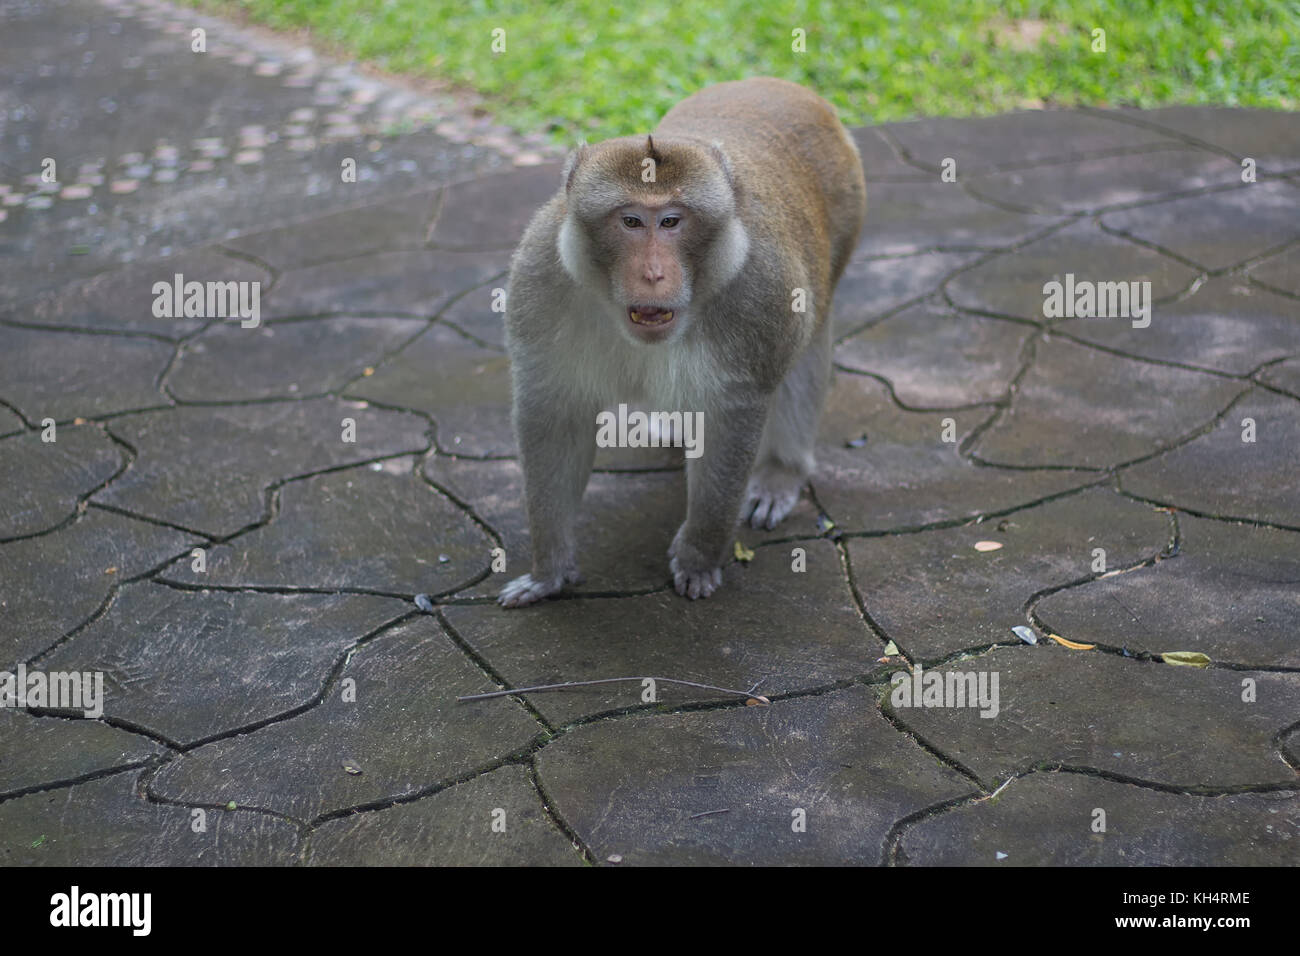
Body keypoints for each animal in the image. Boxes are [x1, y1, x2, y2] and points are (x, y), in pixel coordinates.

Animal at [493, 78, 863, 608]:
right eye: (630, 222)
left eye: (671, 221)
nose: (653, 273)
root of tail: (784, 86)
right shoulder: (539, 277)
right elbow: (554, 417)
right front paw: (549, 572)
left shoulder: (760, 293)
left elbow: (730, 422)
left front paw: (698, 556)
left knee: (807, 353)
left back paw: (780, 472)